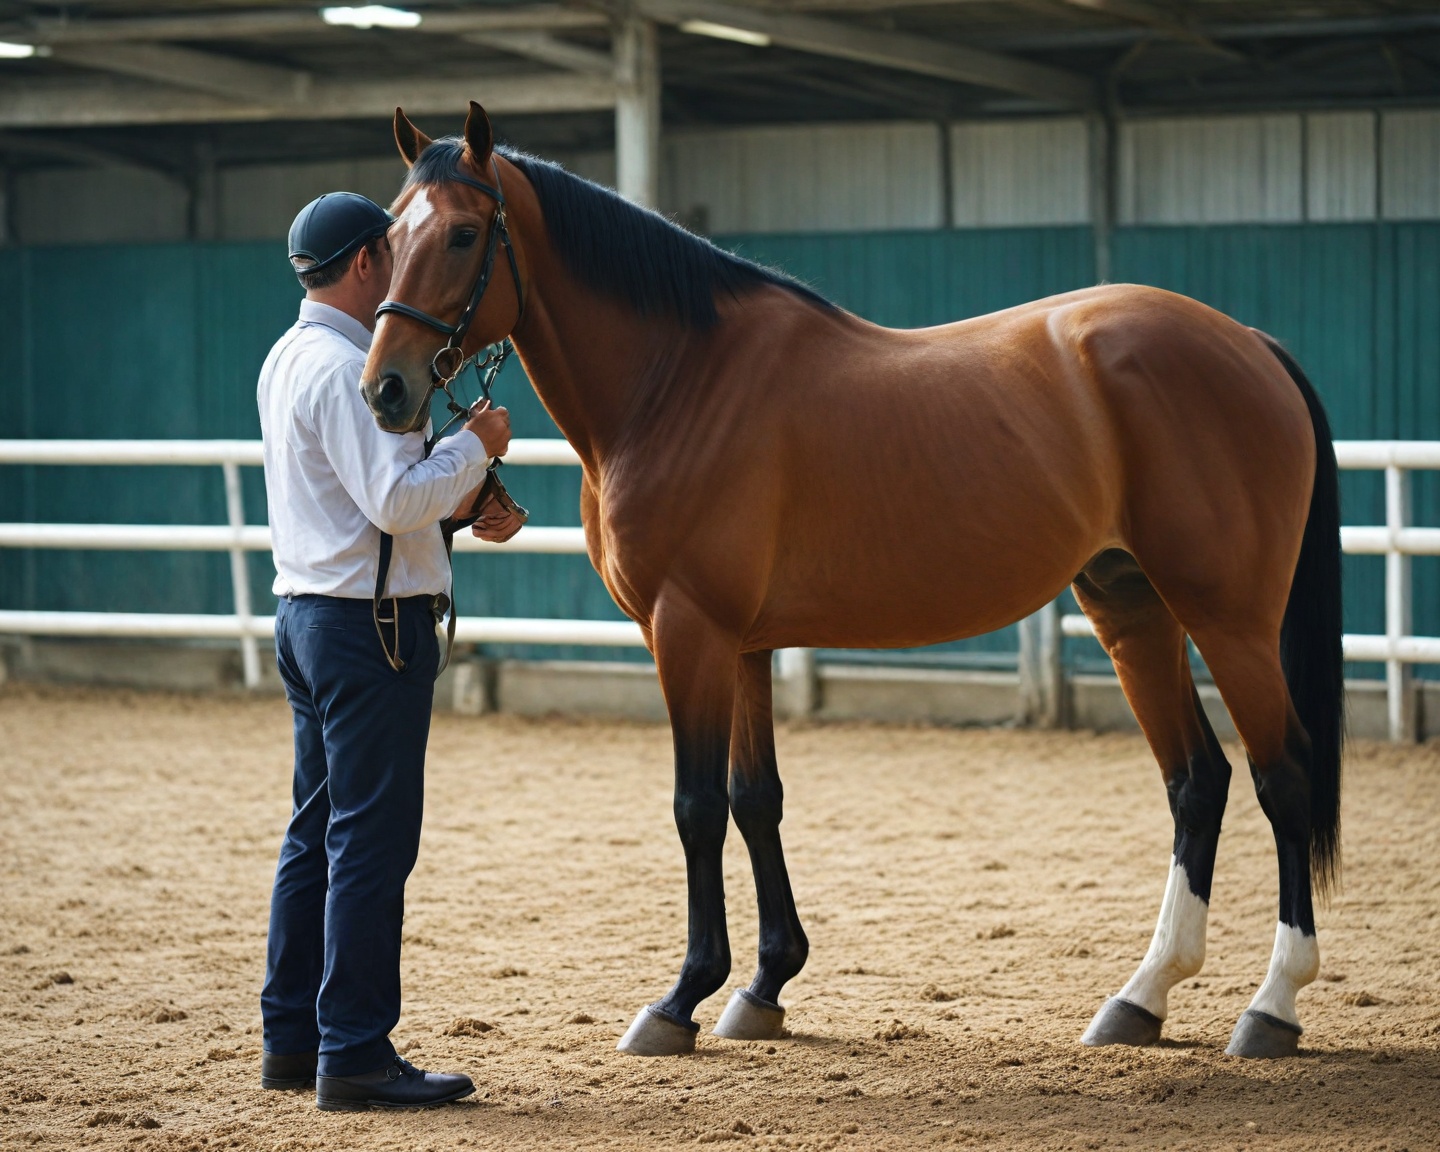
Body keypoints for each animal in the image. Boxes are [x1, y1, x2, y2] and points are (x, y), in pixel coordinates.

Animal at [361, 102, 1344, 1062]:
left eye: (461, 234)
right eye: (389, 233)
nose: (385, 390)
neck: (678, 383)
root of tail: (1249, 343)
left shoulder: (686, 630)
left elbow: (697, 806)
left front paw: (680, 1000)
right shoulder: (743, 643)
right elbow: (756, 800)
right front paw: (764, 985)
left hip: (1229, 618)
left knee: (1281, 776)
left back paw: (1271, 1008)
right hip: (1131, 606)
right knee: (1196, 782)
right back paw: (1141, 998)